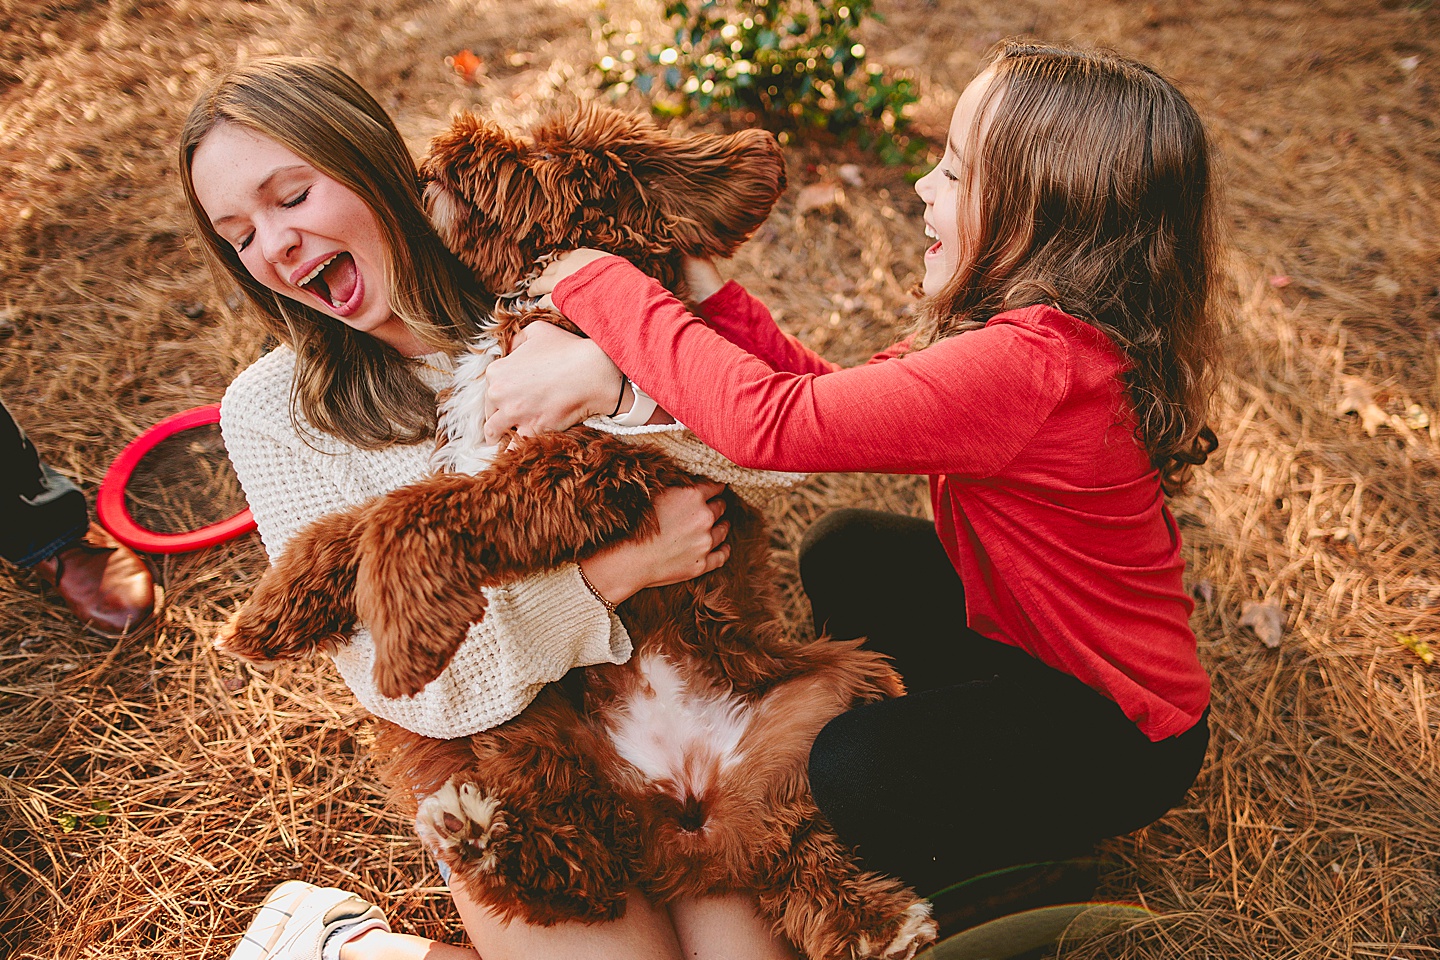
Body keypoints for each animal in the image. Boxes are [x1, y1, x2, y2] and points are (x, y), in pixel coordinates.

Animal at [213, 105, 933, 960]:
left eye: (545, 154)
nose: (455, 137)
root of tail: (689, 814)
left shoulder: (582, 465)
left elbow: (405, 515)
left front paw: (406, 633)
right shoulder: (503, 459)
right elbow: (350, 524)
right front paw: (272, 611)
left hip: (837, 691)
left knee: (782, 841)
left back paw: (883, 925)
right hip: (530, 730)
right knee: (588, 855)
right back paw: (484, 837)